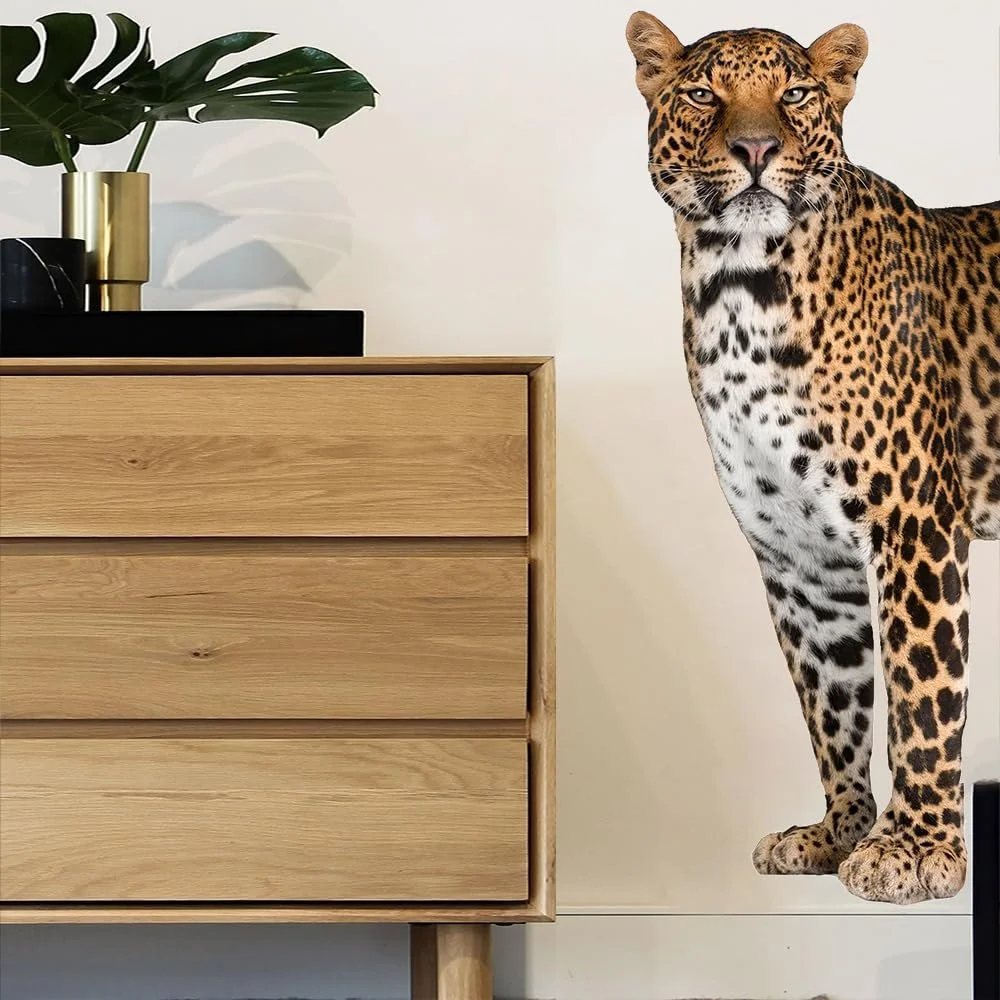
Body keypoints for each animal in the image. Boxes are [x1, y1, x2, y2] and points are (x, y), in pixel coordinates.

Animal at [625, 10, 999, 904]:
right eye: (704, 93)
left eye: (794, 93)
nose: (757, 147)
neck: (738, 286)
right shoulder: (799, 555)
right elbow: (834, 701)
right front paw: (839, 833)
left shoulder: (915, 522)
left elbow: (922, 694)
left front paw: (918, 850)